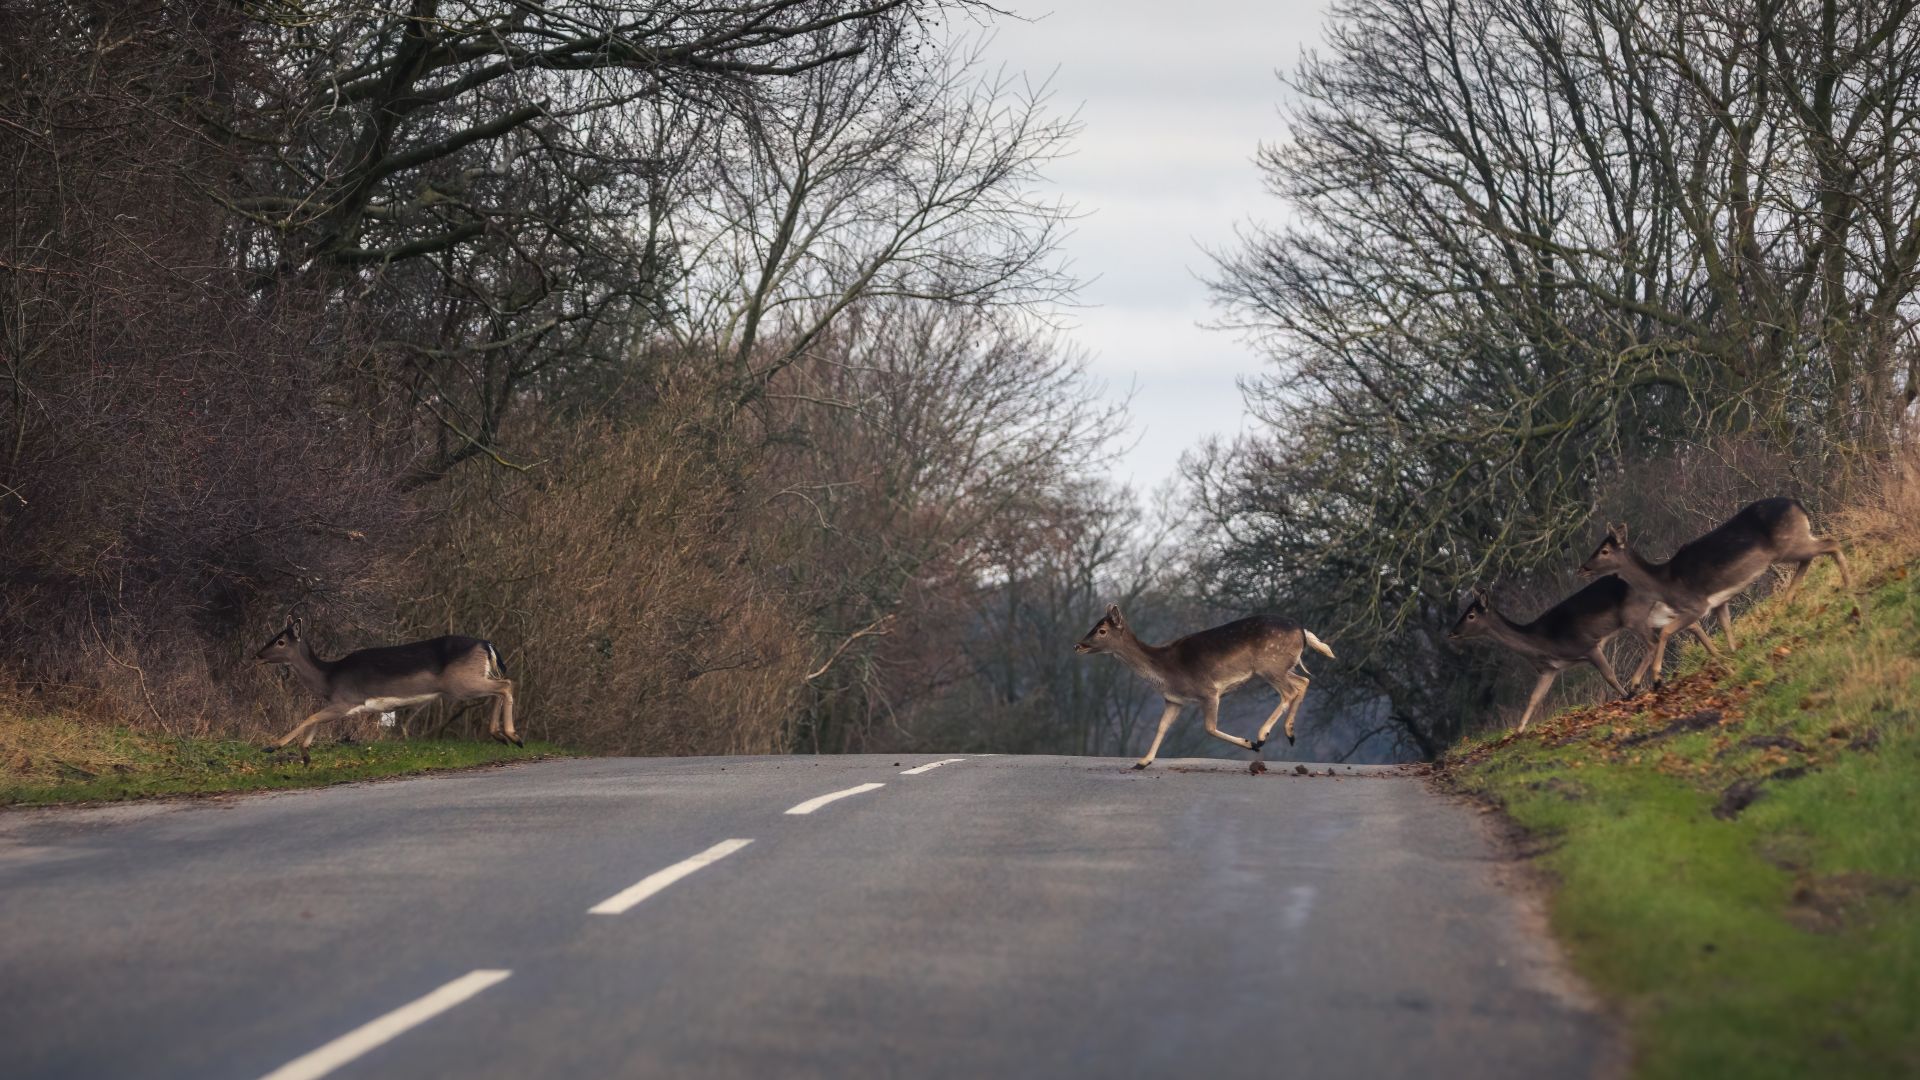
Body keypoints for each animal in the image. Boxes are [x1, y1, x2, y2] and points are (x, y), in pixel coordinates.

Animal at [251, 614, 518, 764]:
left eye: (280, 641)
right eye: (274, 636)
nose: (258, 655)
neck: (328, 678)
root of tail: (487, 644)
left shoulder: (347, 700)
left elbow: (310, 717)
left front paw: (272, 746)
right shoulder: (341, 705)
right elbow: (315, 720)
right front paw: (306, 756)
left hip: (462, 683)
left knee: (506, 684)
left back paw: (513, 735)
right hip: (470, 680)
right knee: (501, 687)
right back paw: (501, 736)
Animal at [1067, 607, 1336, 772]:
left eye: (1102, 630)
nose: (1078, 645)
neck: (1165, 670)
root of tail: (1303, 631)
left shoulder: (1209, 691)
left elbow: (1209, 728)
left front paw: (1250, 744)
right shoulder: (1175, 700)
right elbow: (1162, 726)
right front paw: (1142, 762)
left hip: (1269, 665)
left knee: (1290, 691)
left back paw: (1262, 735)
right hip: (1280, 666)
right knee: (1303, 682)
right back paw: (1290, 733)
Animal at [1443, 572, 1643, 730]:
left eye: (1471, 615)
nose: (1451, 633)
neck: (1543, 644)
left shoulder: (1588, 646)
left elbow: (1610, 676)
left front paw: (1628, 696)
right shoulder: (1549, 669)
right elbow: (1535, 697)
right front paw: (1518, 731)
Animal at [1574, 495, 1858, 687]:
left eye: (1604, 551)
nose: (1582, 568)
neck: (1665, 583)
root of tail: (1799, 505)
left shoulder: (1696, 605)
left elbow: (1666, 631)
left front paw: (1655, 678)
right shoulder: (1720, 602)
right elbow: (1727, 628)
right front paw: (1734, 657)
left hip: (1790, 544)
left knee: (1831, 543)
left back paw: (1848, 585)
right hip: (1792, 544)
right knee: (1812, 556)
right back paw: (1787, 601)